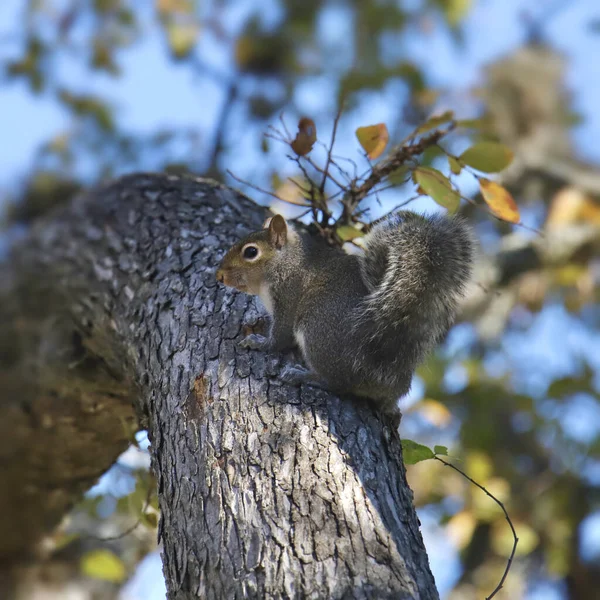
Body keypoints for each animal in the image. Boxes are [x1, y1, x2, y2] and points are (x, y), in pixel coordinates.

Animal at [216, 211, 474, 412]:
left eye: (251, 252)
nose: (219, 276)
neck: (286, 262)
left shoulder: (289, 296)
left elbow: (280, 337)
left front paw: (260, 343)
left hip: (318, 330)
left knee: (338, 384)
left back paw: (305, 376)